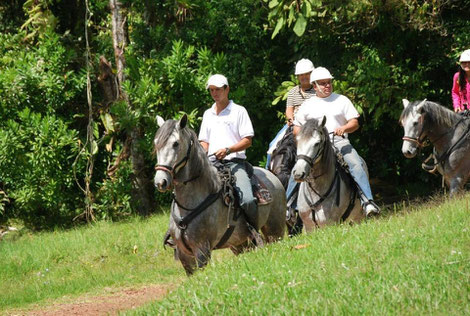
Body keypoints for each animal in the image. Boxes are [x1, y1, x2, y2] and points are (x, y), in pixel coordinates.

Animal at [154, 115, 286, 276]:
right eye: (156, 143)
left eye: (175, 143)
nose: (160, 181)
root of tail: (272, 176)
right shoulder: (183, 253)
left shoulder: (202, 249)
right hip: (240, 243)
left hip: (275, 231)